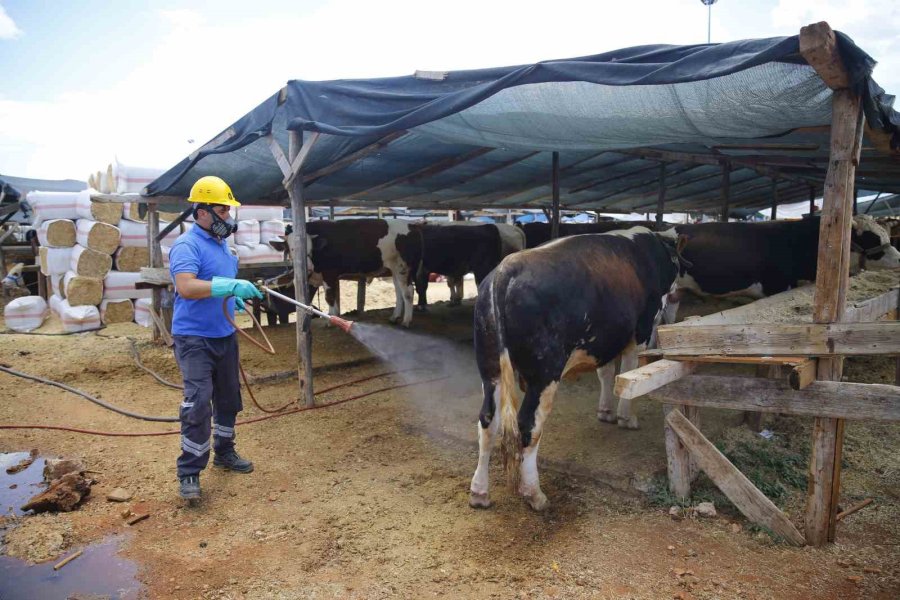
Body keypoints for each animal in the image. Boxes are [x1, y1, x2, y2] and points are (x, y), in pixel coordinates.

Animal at [472, 227, 684, 508]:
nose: (677, 293)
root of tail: (506, 270)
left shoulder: (603, 341)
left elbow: (606, 373)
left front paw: (606, 411)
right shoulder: (639, 331)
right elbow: (628, 370)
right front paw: (626, 417)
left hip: (490, 368)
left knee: (488, 421)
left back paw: (479, 492)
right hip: (545, 374)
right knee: (528, 426)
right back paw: (534, 493)